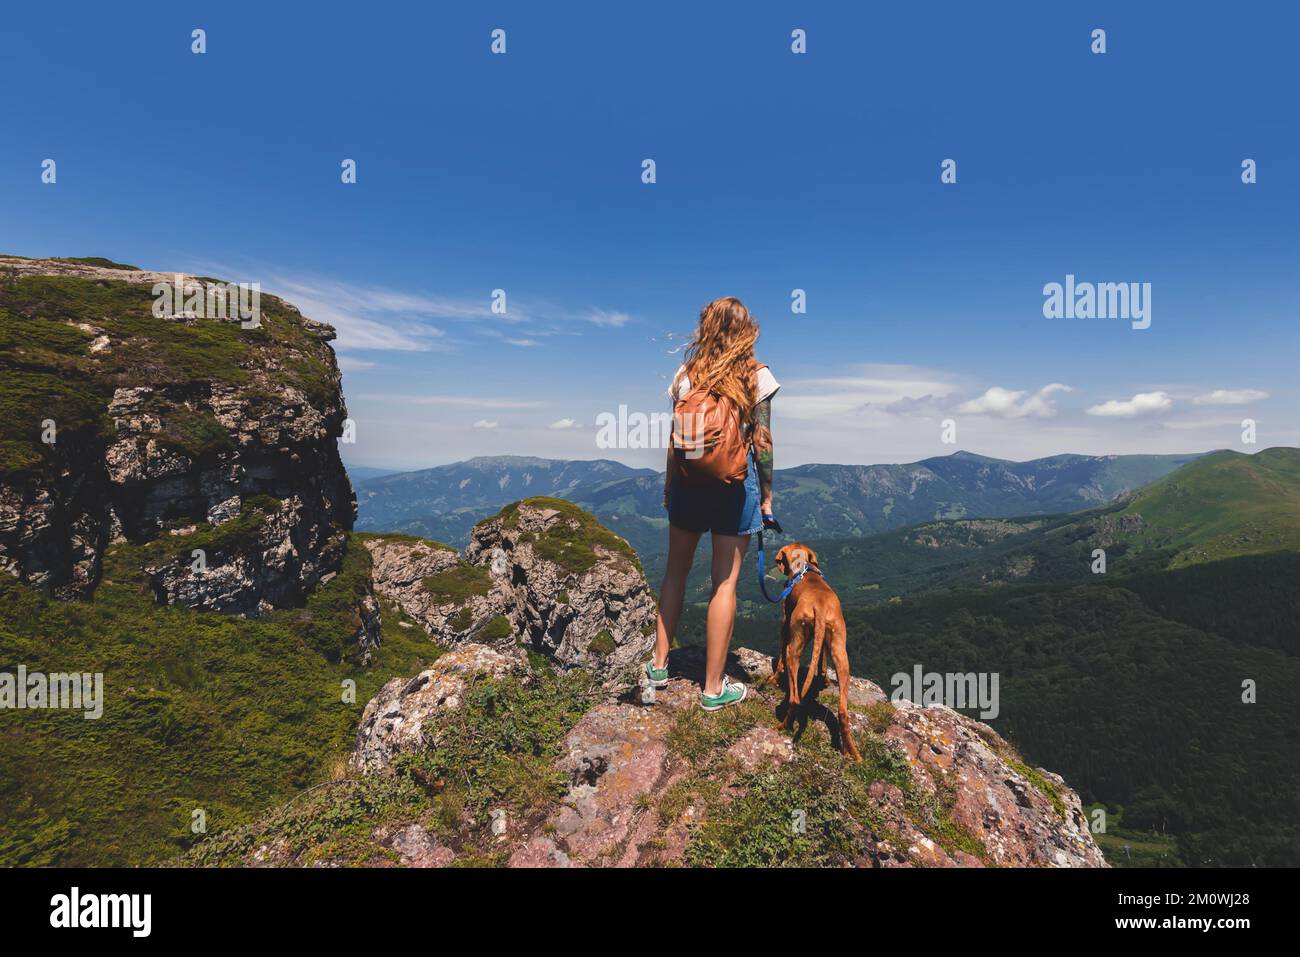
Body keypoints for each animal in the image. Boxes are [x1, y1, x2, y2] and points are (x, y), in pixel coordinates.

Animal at [769, 546, 863, 764]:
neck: (806, 571)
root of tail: (819, 606)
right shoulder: (826, 642)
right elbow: (821, 659)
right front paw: (824, 679)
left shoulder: (785, 625)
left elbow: (780, 658)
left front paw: (774, 679)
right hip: (840, 650)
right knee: (843, 712)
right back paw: (852, 753)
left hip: (794, 646)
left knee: (795, 698)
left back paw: (783, 726)